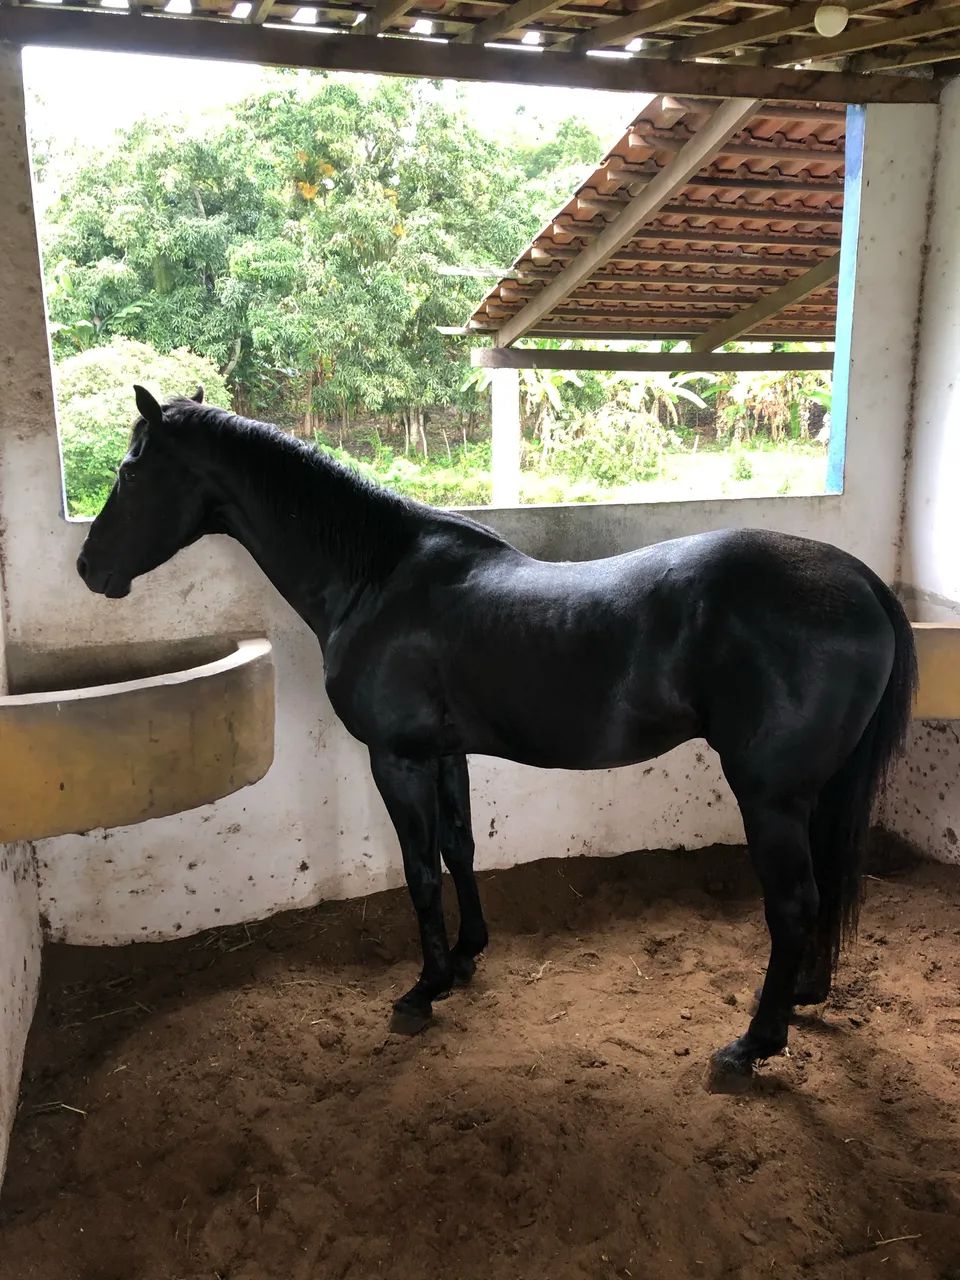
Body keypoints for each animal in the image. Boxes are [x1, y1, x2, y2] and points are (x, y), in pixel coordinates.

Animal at [77, 386, 917, 1093]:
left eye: (129, 470)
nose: (89, 568)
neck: (376, 576)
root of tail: (865, 584)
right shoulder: (446, 754)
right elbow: (460, 848)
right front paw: (468, 955)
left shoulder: (397, 759)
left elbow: (420, 871)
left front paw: (423, 988)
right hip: (815, 793)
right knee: (828, 884)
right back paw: (804, 993)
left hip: (769, 797)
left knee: (794, 903)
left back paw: (752, 1045)